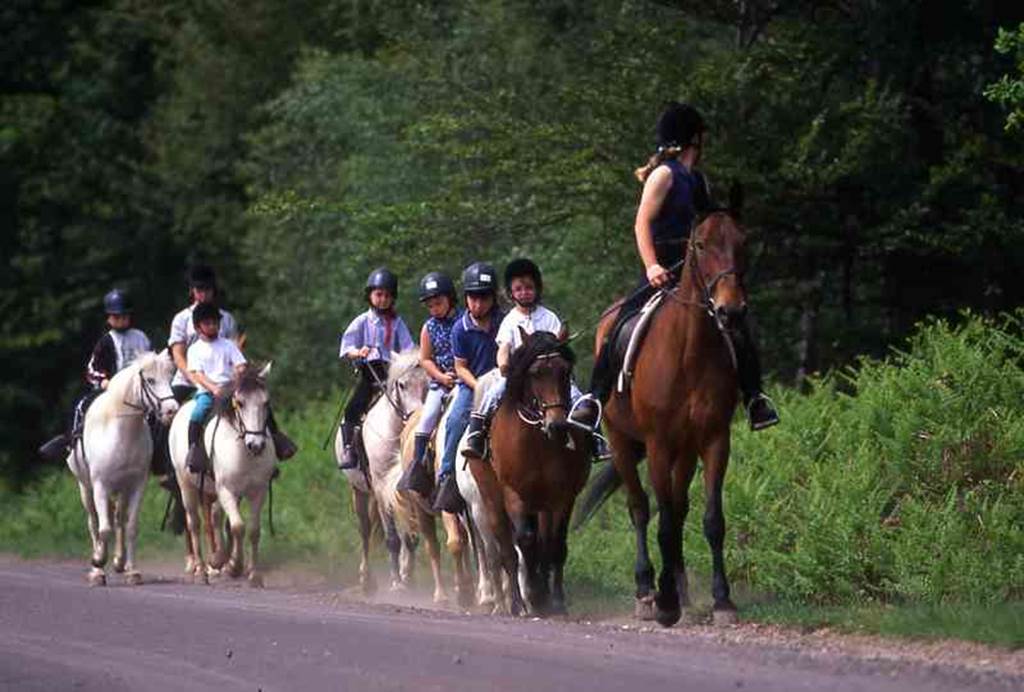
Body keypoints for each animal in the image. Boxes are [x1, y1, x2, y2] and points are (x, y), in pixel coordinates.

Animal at [67, 352, 178, 585]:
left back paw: (120, 561)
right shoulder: (100, 486)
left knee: (118, 519)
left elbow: (131, 527)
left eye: (168, 377)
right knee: (93, 522)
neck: (122, 433)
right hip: (85, 487)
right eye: (150, 380)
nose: (172, 410)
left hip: (121, 490)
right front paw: (98, 565)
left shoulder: (136, 485)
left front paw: (132, 571)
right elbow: (103, 528)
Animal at [171, 362, 276, 585]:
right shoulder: (227, 490)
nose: (257, 445)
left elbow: (253, 530)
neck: (244, 452)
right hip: (186, 485)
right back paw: (201, 569)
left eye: (266, 402)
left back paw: (218, 560)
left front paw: (253, 574)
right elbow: (237, 527)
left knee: (216, 518)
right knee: (194, 523)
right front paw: (234, 566)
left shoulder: (258, 491)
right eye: (240, 403)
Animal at [468, 329, 589, 618]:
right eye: (535, 373)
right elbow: (523, 542)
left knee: (542, 543)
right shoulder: (514, 494)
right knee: (507, 549)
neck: (538, 441)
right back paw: (517, 601)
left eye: (565, 371)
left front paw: (554, 601)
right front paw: (528, 598)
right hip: (490, 500)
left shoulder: (562, 497)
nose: (557, 425)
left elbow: (555, 546)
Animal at [581, 205, 749, 626]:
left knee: (678, 506)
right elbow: (663, 521)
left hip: (684, 450)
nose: (731, 311)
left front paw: (721, 600)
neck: (690, 349)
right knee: (641, 509)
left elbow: (710, 519)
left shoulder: (714, 439)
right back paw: (646, 590)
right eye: (701, 244)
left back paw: (682, 590)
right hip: (623, 441)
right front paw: (664, 601)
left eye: (744, 241)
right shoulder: (657, 444)